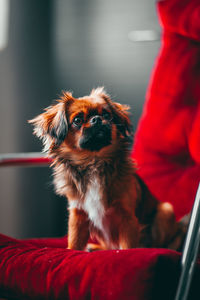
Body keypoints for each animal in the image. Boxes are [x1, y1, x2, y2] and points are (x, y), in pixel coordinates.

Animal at [28, 87, 185, 251]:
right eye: (77, 120)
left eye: (106, 115)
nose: (97, 119)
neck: (94, 161)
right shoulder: (78, 216)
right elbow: (74, 244)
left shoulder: (127, 218)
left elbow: (128, 247)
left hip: (165, 211)